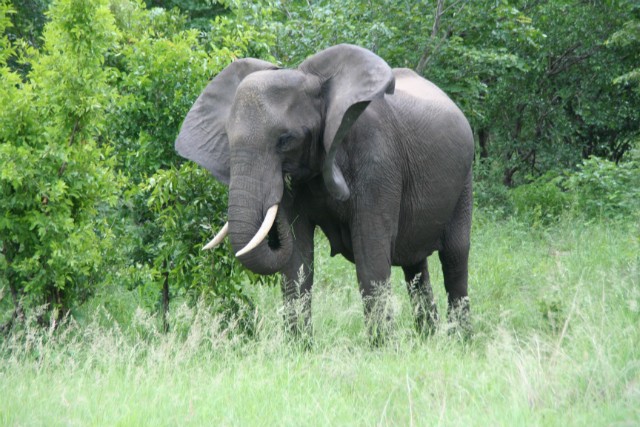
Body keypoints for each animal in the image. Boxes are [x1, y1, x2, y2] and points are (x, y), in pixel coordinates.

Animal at [175, 45, 476, 340]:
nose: (281, 183)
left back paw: (459, 340)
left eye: (285, 140)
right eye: (227, 138)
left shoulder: (378, 160)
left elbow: (370, 254)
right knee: (415, 265)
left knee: (454, 257)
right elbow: (297, 259)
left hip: (465, 178)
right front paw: (298, 347)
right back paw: (428, 338)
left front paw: (383, 347)